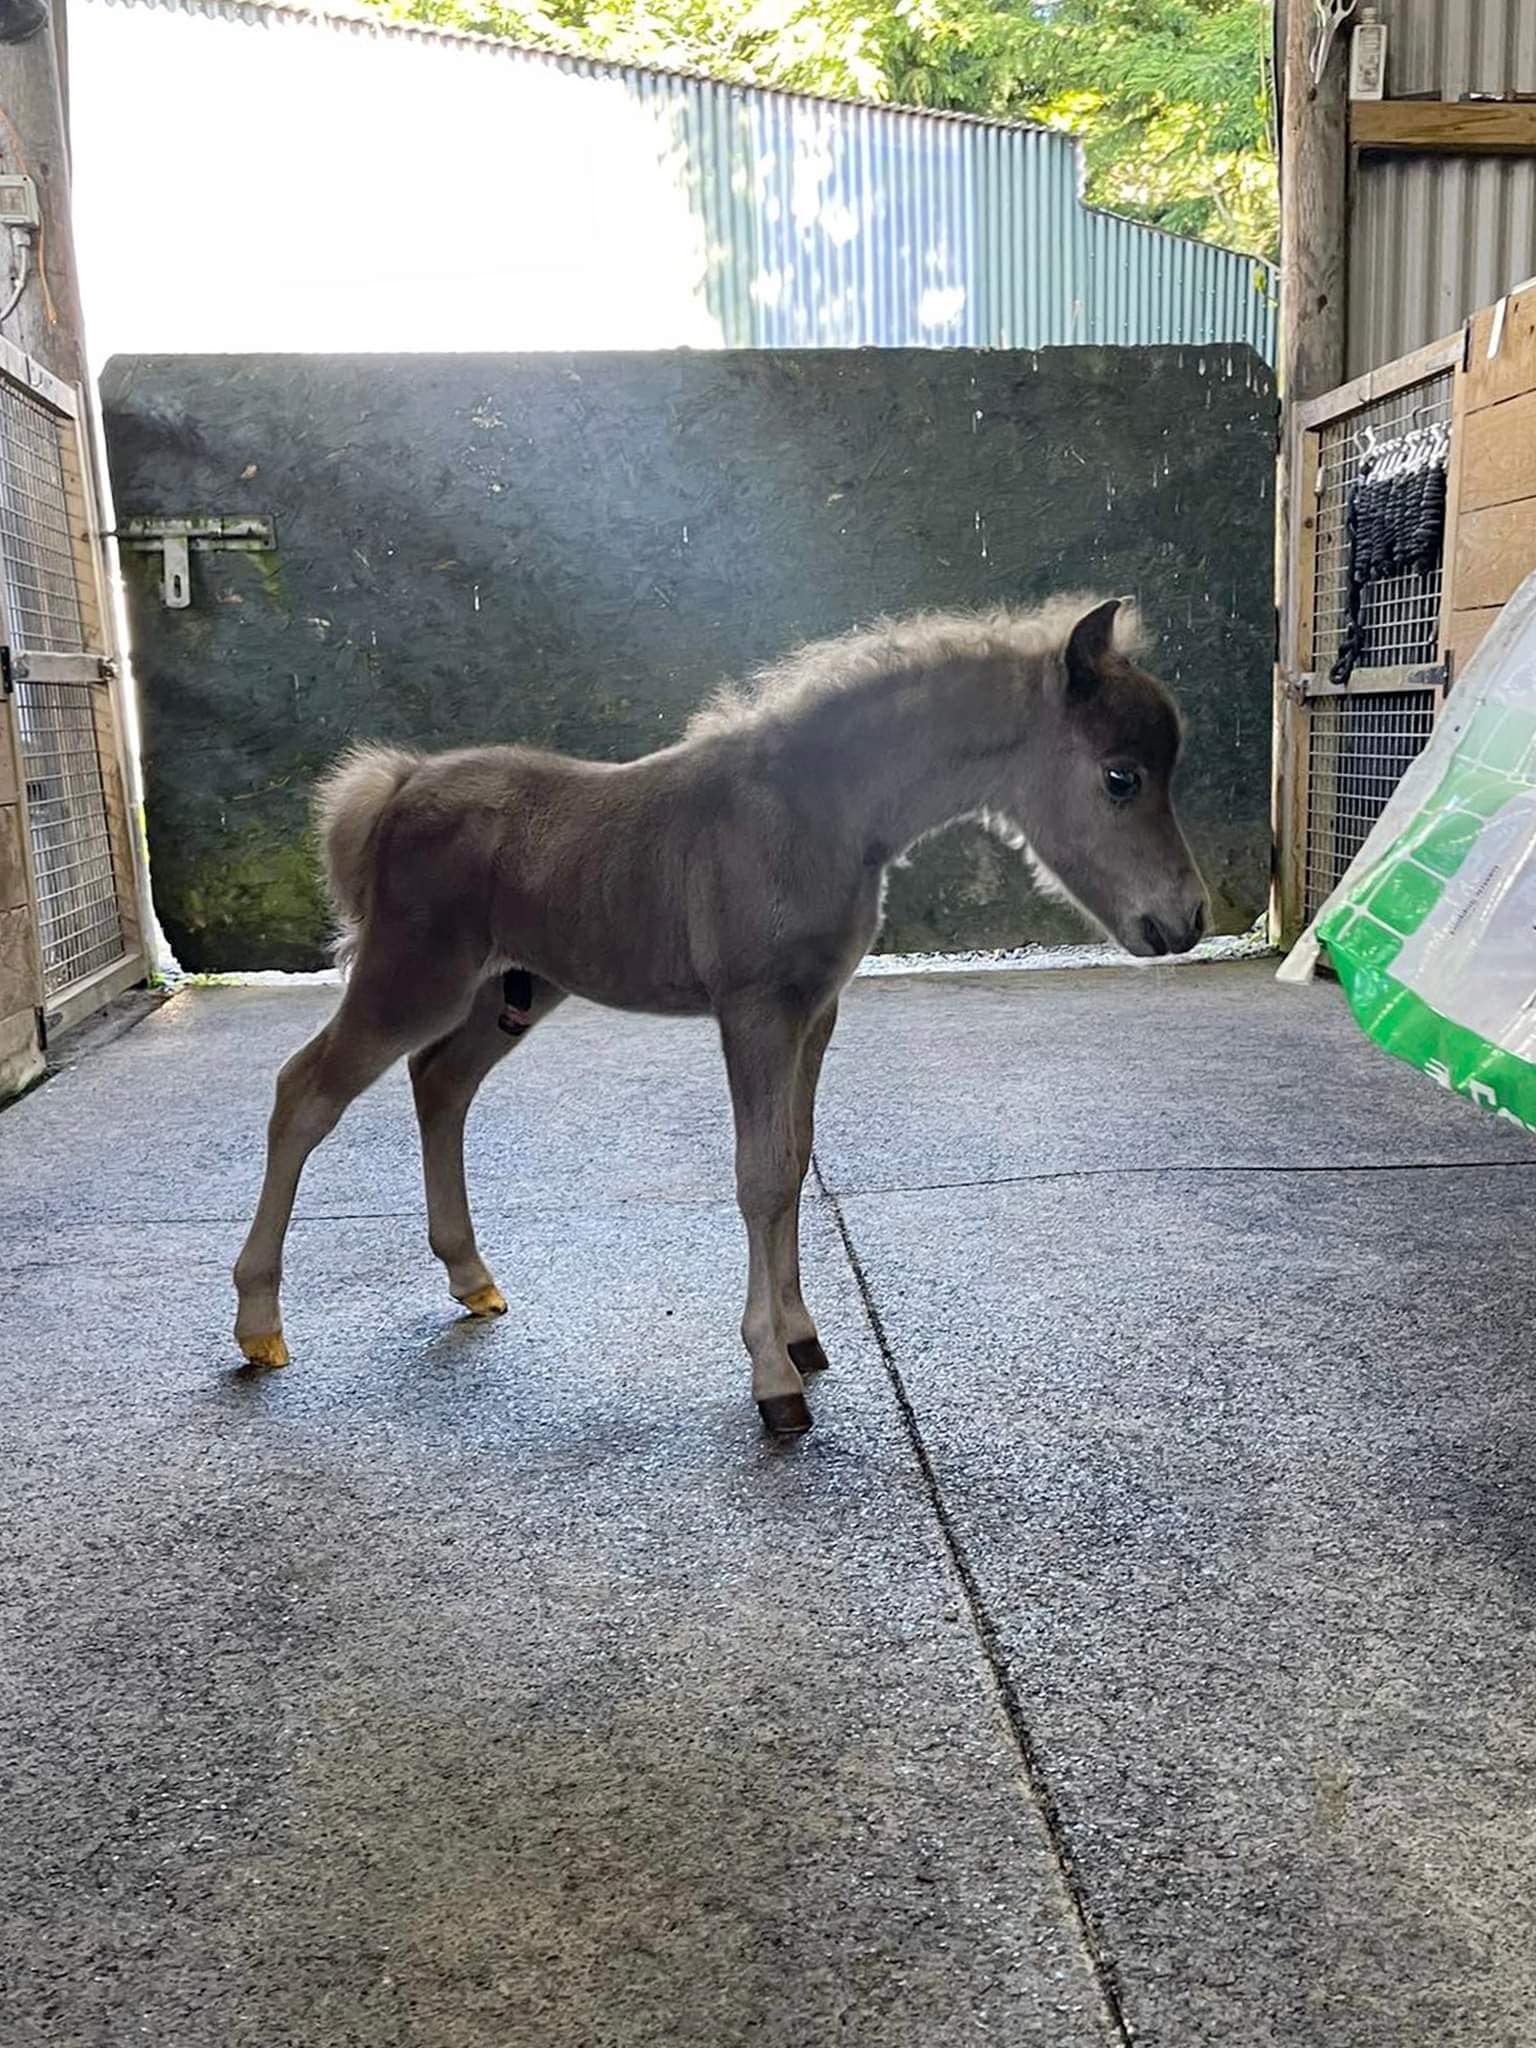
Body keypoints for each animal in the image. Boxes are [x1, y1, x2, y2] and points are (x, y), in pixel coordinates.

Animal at [233, 594, 1208, 1435]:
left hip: (506, 992)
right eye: (1121, 778)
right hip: (414, 979)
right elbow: (761, 1176)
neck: (815, 813)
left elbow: (796, 1161)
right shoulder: (755, 1012)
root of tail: (399, 785)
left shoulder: (814, 1014)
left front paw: (803, 1337)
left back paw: (472, 1278)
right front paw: (773, 1379)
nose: (1187, 921)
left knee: (440, 1085)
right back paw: (258, 1324)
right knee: (303, 1092)